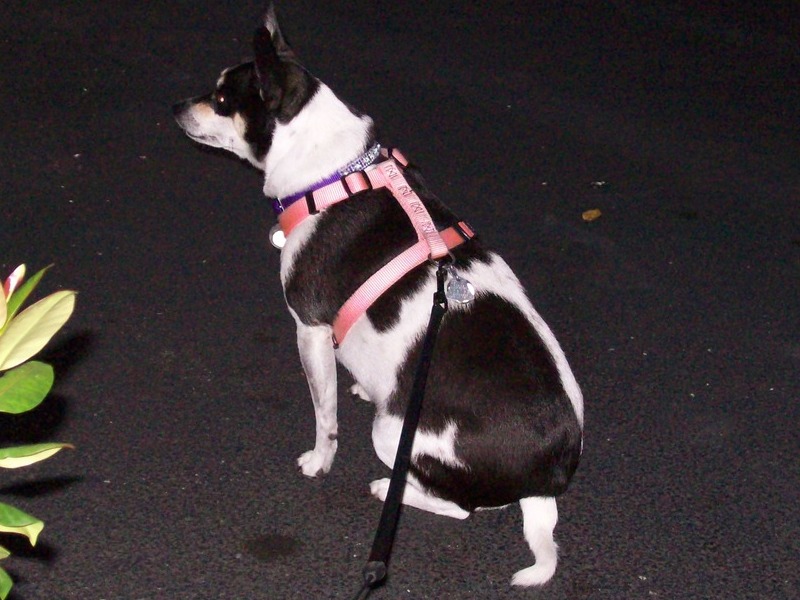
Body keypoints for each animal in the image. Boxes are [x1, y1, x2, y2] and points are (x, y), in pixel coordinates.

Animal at [173, 3, 580, 584]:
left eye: (223, 99)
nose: (177, 107)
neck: (334, 172)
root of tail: (546, 479)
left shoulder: (310, 329)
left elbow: (325, 416)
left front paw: (319, 461)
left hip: (391, 433)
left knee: (459, 505)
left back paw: (388, 485)